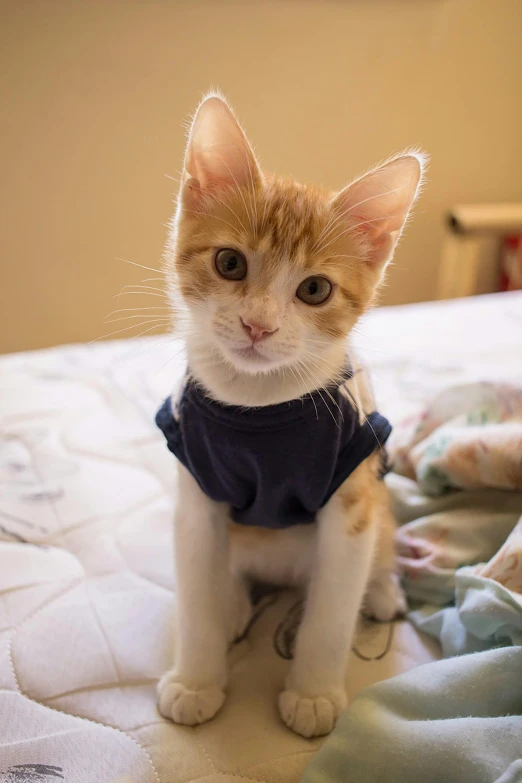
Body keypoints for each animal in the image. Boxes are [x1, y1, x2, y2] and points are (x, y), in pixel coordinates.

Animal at [155, 95, 422, 740]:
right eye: (229, 262)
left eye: (315, 289)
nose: (258, 325)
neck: (259, 404)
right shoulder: (194, 489)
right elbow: (195, 588)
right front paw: (196, 681)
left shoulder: (351, 495)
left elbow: (333, 609)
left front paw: (314, 693)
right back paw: (232, 604)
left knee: (381, 538)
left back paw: (382, 590)